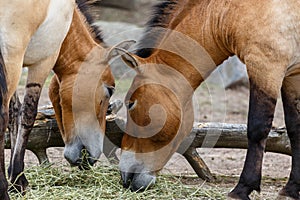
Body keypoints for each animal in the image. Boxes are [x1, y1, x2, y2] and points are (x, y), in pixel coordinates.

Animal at [0, 0, 134, 198]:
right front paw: (17, 180)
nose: (91, 157)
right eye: (109, 91)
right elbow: (27, 115)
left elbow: (15, 114)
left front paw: (18, 178)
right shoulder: (43, 60)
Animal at [118, 0, 300, 199]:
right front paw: (291, 189)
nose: (125, 177)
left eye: (130, 103)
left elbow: (257, 129)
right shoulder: (292, 75)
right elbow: (294, 129)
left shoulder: (266, 68)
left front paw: (242, 188)